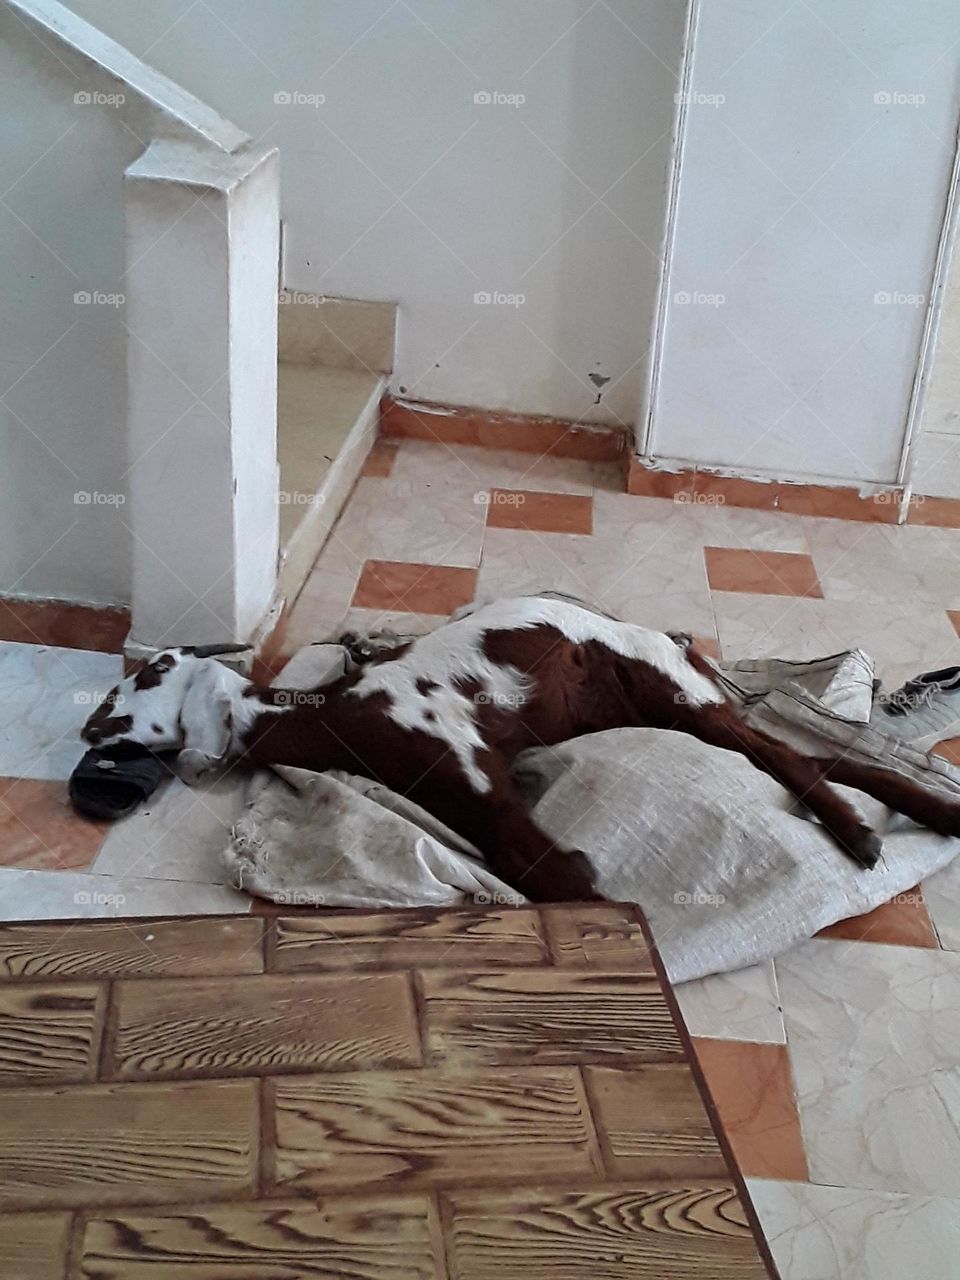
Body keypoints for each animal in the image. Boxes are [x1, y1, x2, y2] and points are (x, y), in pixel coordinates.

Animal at [81, 596, 960, 902]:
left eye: (141, 680)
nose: (87, 732)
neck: (343, 710)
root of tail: (670, 635)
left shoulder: (475, 779)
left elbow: (559, 876)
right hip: (673, 710)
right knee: (825, 758)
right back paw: (916, 815)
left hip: (676, 695)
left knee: (793, 759)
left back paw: (860, 833)